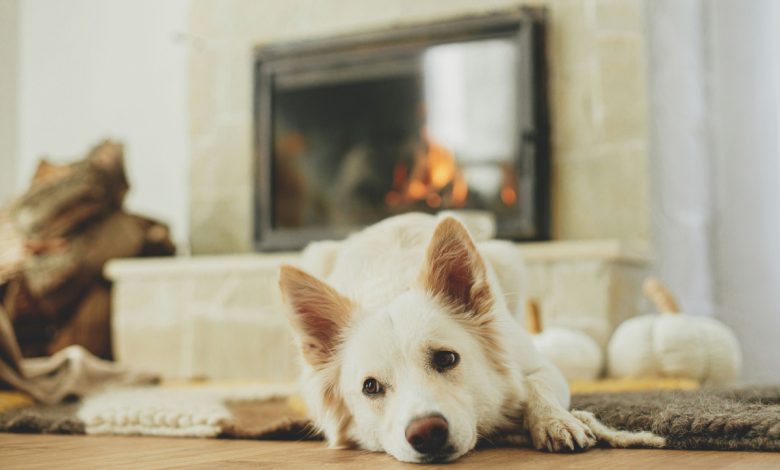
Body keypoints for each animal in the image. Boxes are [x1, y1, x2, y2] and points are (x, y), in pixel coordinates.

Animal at [280, 214, 596, 462]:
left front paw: (554, 421)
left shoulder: (542, 367)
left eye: (446, 358)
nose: (427, 432)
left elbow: (533, 384)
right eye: (370, 387)